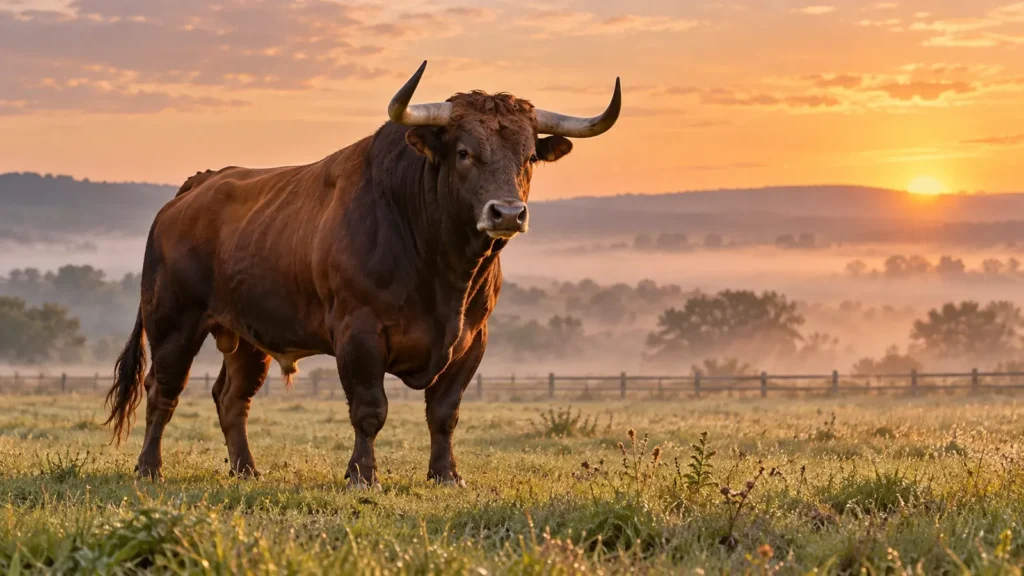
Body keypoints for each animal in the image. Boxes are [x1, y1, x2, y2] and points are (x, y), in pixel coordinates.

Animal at [104, 61, 621, 487]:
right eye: (464, 152)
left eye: (529, 156)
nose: (508, 213)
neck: (441, 267)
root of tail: (198, 185)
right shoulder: (359, 332)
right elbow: (370, 410)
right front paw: (362, 475)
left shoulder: (473, 339)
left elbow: (445, 413)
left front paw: (446, 475)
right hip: (174, 323)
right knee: (162, 392)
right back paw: (149, 468)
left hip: (248, 337)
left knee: (232, 398)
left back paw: (246, 469)